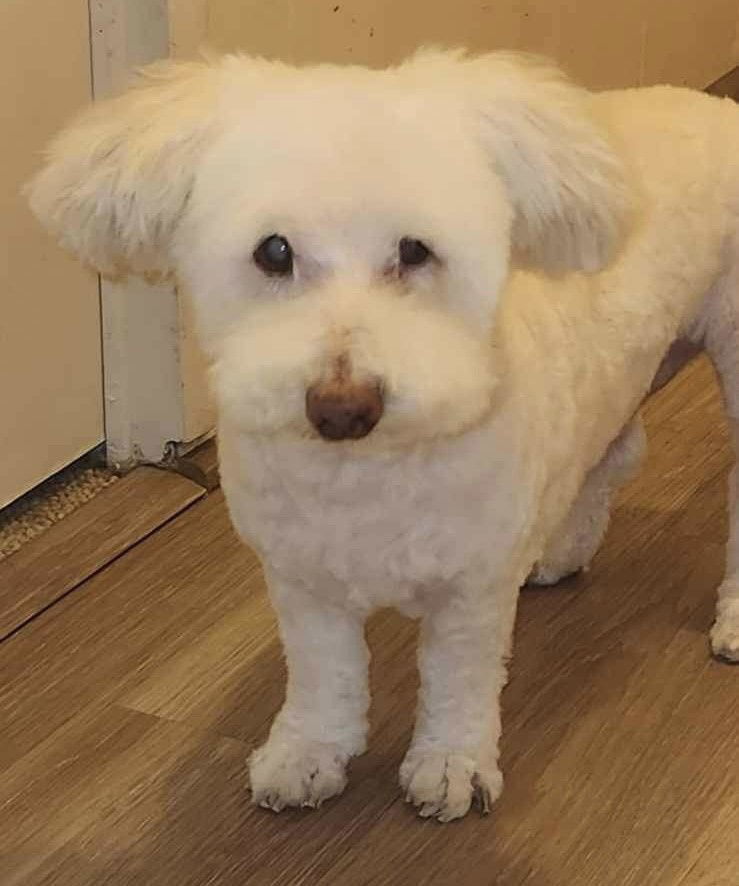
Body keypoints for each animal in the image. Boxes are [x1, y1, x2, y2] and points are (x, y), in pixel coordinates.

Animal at [28, 50, 739, 824]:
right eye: (273, 250)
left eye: (415, 250)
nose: (343, 407)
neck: (362, 476)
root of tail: (717, 111)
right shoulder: (300, 580)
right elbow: (323, 675)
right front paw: (308, 752)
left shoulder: (469, 595)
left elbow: (458, 683)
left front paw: (452, 766)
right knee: (611, 453)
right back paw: (560, 550)